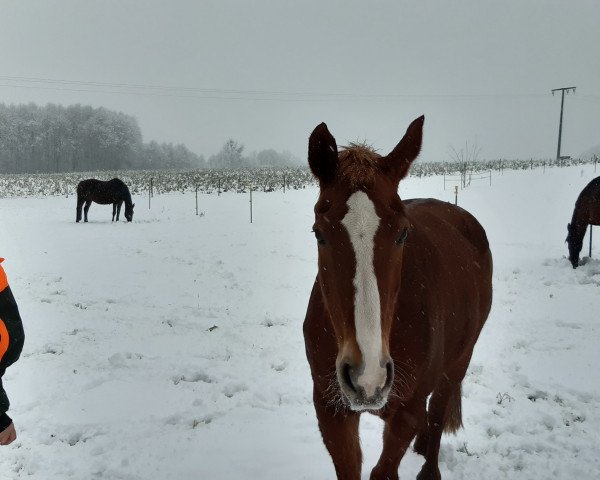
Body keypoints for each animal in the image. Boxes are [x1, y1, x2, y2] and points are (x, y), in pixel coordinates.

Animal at [304, 117, 492, 480]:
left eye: (403, 233)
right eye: (319, 233)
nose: (367, 377)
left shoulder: (406, 413)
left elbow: (385, 469)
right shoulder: (331, 411)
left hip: (458, 363)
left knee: (437, 415)